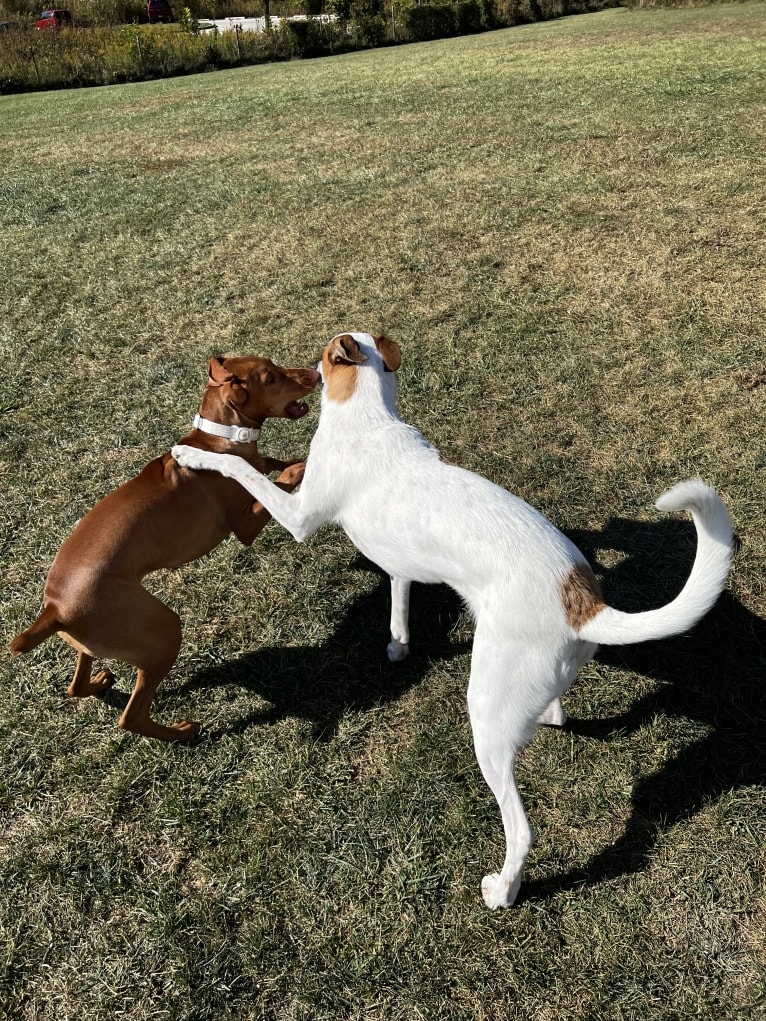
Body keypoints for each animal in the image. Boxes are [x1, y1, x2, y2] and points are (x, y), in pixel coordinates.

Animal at [10, 357, 318, 743]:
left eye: (273, 364)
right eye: (271, 377)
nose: (315, 373)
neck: (220, 437)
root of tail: (54, 609)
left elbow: (270, 463)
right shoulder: (245, 525)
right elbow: (277, 477)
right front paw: (301, 466)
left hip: (94, 642)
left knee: (75, 686)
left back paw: (98, 683)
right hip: (163, 631)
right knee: (132, 716)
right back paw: (183, 734)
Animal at [170, 332, 735, 910]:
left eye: (323, 356)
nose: (308, 370)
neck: (368, 416)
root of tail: (583, 601)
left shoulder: (300, 516)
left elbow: (242, 470)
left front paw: (193, 452)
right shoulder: (399, 564)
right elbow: (398, 603)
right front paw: (397, 646)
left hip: (486, 717)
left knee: (521, 827)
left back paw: (503, 890)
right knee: (554, 715)